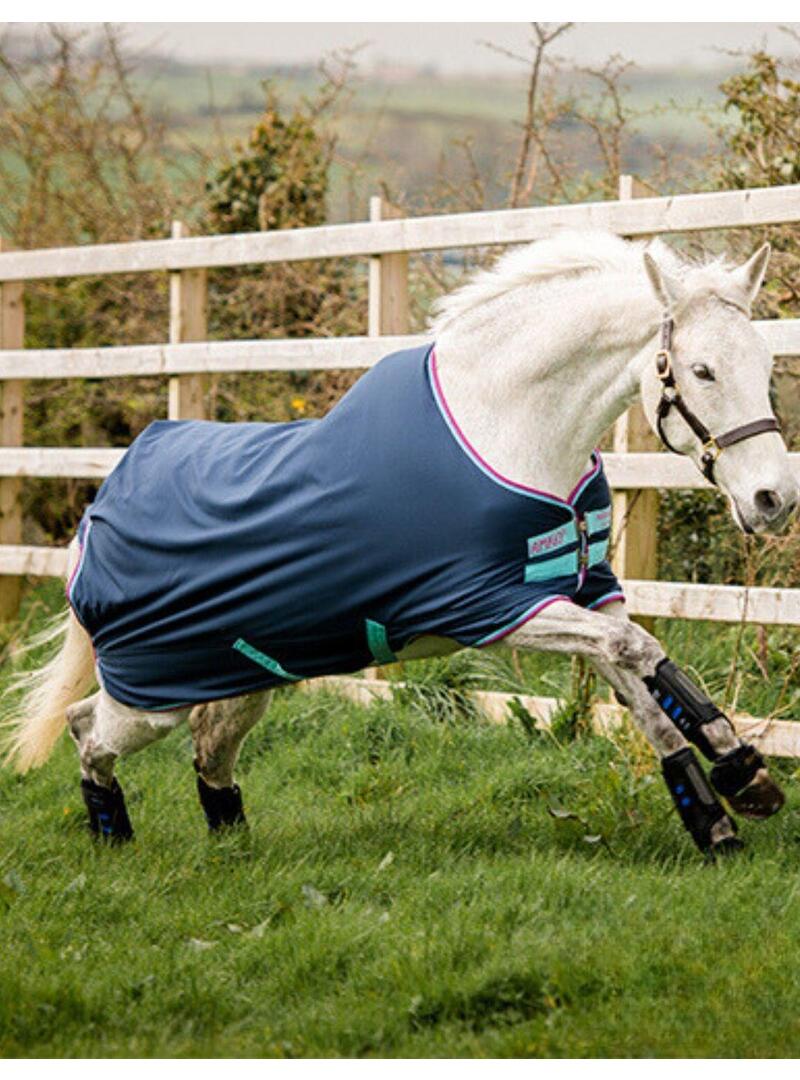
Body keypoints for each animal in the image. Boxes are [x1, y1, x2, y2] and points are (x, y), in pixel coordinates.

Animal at [4, 229, 797, 857]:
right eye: (701, 370)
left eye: (765, 366)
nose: (773, 500)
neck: (510, 430)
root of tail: (96, 514)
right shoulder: (491, 609)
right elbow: (641, 654)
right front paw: (738, 777)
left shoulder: (583, 595)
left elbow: (642, 680)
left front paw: (726, 803)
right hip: (152, 695)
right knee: (87, 730)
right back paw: (113, 841)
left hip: (236, 678)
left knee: (208, 746)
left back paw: (233, 846)